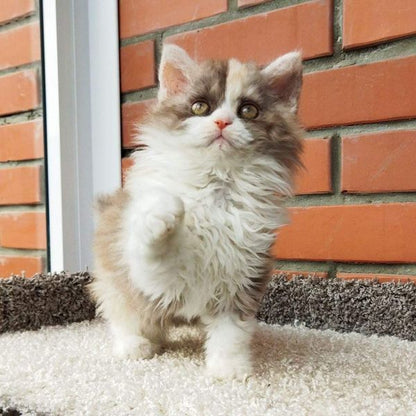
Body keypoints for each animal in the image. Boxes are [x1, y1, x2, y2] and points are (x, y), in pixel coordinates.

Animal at [89, 44, 302, 380]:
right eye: (201, 107)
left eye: (248, 111)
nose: (222, 122)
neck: (216, 187)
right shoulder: (155, 278)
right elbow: (156, 254)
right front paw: (164, 210)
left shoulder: (244, 274)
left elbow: (231, 331)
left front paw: (229, 369)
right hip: (116, 283)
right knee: (124, 315)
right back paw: (135, 346)